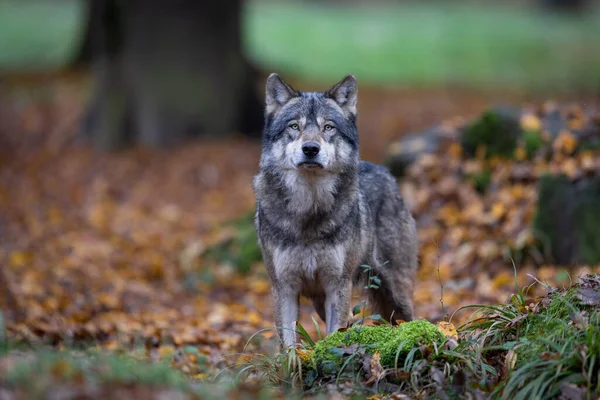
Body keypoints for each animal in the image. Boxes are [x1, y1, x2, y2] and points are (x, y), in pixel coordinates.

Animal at [252, 73, 418, 348]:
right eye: (294, 127)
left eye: (328, 127)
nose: (310, 148)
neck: (308, 211)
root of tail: (387, 173)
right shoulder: (284, 288)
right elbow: (288, 345)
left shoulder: (337, 285)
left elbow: (333, 336)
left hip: (396, 291)